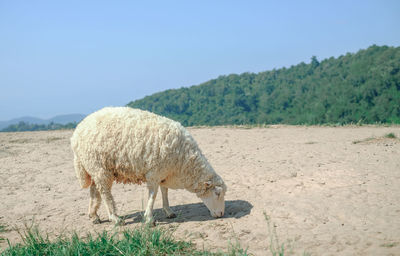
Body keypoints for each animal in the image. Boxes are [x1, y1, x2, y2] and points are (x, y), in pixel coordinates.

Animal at [69, 105, 225, 224]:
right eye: (217, 193)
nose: (221, 214)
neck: (185, 163)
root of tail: (77, 132)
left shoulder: (164, 173)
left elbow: (164, 192)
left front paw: (168, 211)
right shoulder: (155, 172)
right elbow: (153, 194)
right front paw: (149, 218)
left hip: (94, 167)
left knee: (94, 190)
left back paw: (94, 216)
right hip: (99, 167)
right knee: (104, 192)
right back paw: (115, 218)